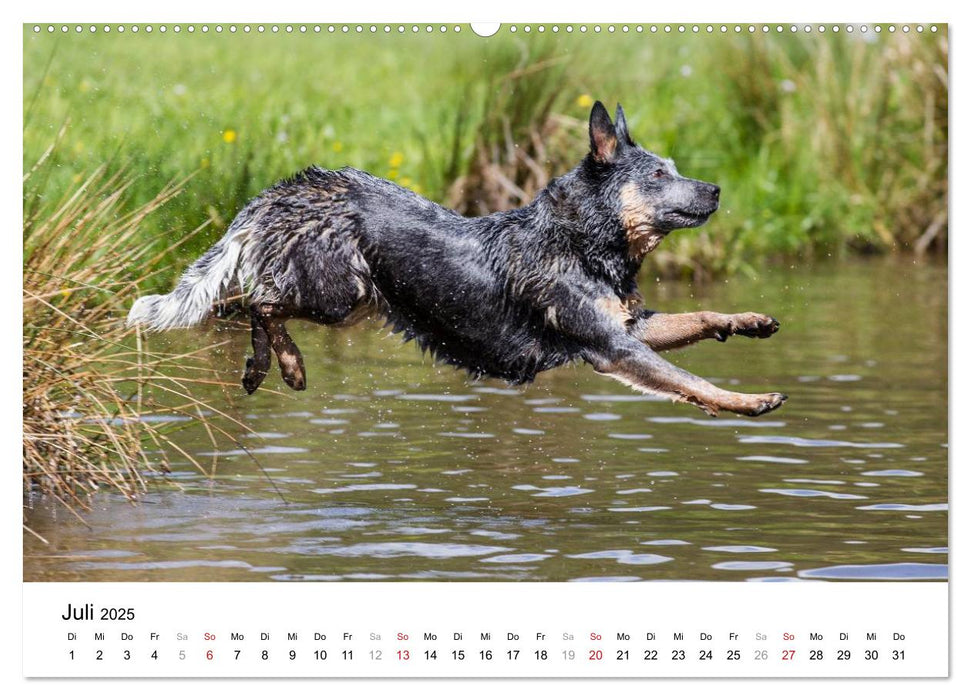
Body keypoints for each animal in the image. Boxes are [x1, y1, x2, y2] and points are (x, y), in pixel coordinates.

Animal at [125, 102, 784, 418]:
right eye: (657, 175)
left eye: (675, 168)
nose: (716, 189)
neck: (586, 242)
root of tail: (281, 190)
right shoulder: (610, 347)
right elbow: (692, 382)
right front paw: (748, 401)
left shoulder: (629, 326)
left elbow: (699, 319)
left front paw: (747, 322)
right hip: (339, 293)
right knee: (246, 302)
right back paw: (283, 364)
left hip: (345, 296)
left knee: (248, 305)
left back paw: (262, 369)